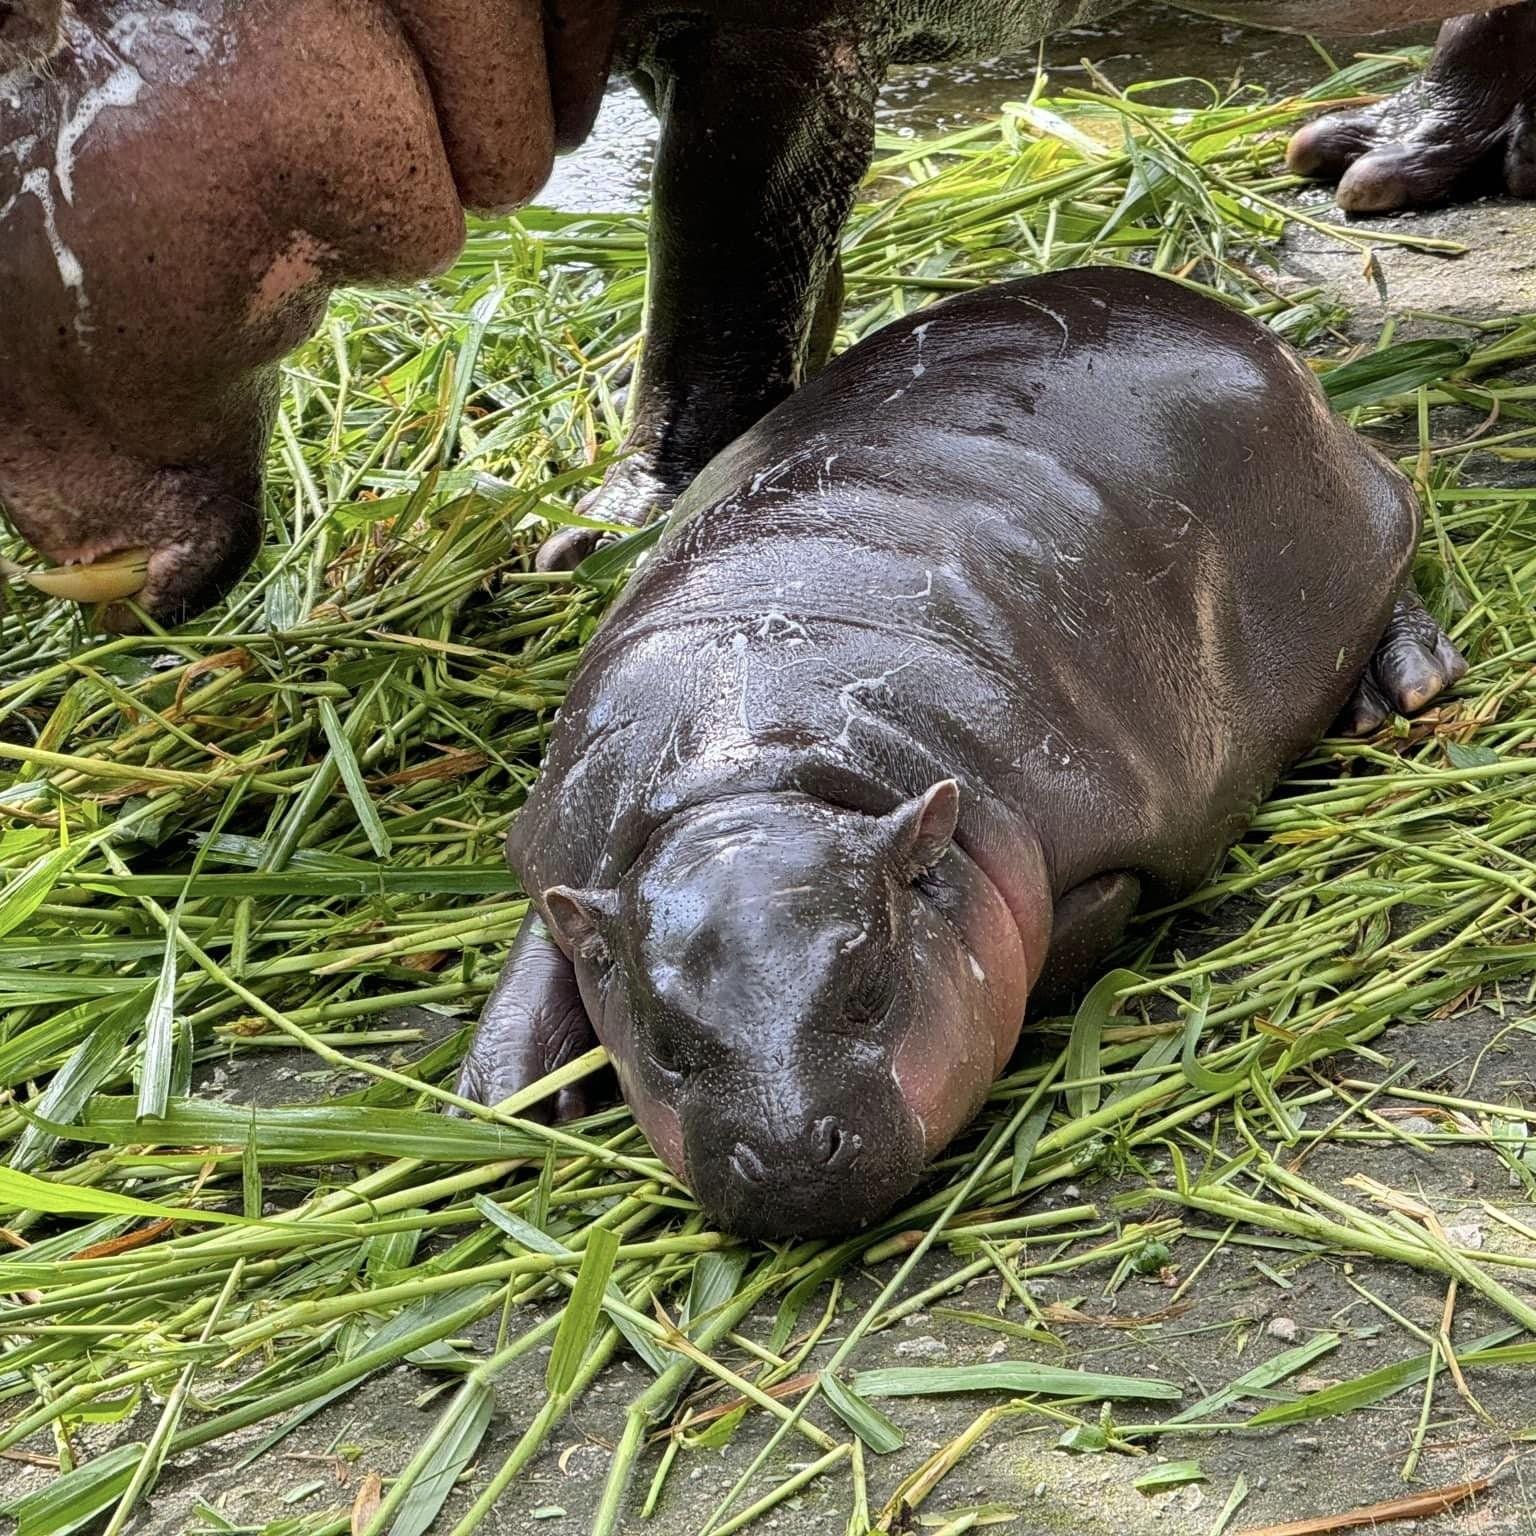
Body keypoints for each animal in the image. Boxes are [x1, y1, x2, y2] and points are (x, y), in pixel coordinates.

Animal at [452, 266, 1465, 1238]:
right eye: (665, 1047)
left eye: (869, 989)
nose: (784, 1155)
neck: (754, 774)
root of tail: (1218, 314)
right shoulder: (571, 852)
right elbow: (541, 950)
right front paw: (495, 1102)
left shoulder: (1094, 853)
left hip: (1352, 529)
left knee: (1401, 552)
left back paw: (1400, 689)